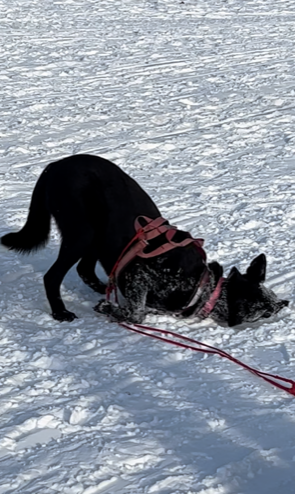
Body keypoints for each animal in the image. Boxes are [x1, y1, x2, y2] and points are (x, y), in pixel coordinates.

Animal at [1, 153, 290, 324]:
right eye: (265, 311)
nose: (285, 303)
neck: (203, 286)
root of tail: (53, 167)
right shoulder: (140, 273)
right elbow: (138, 313)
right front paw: (111, 311)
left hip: (99, 235)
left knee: (85, 269)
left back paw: (103, 289)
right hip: (83, 233)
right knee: (53, 276)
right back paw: (61, 312)